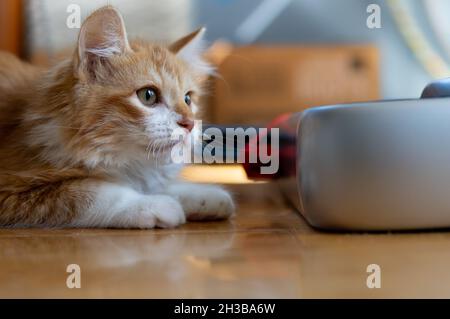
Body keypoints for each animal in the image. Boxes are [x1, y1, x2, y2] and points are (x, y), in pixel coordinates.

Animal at [0, 6, 234, 229]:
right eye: (148, 95)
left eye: (187, 99)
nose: (190, 123)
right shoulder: (11, 188)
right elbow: (86, 191)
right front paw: (150, 203)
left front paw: (203, 194)